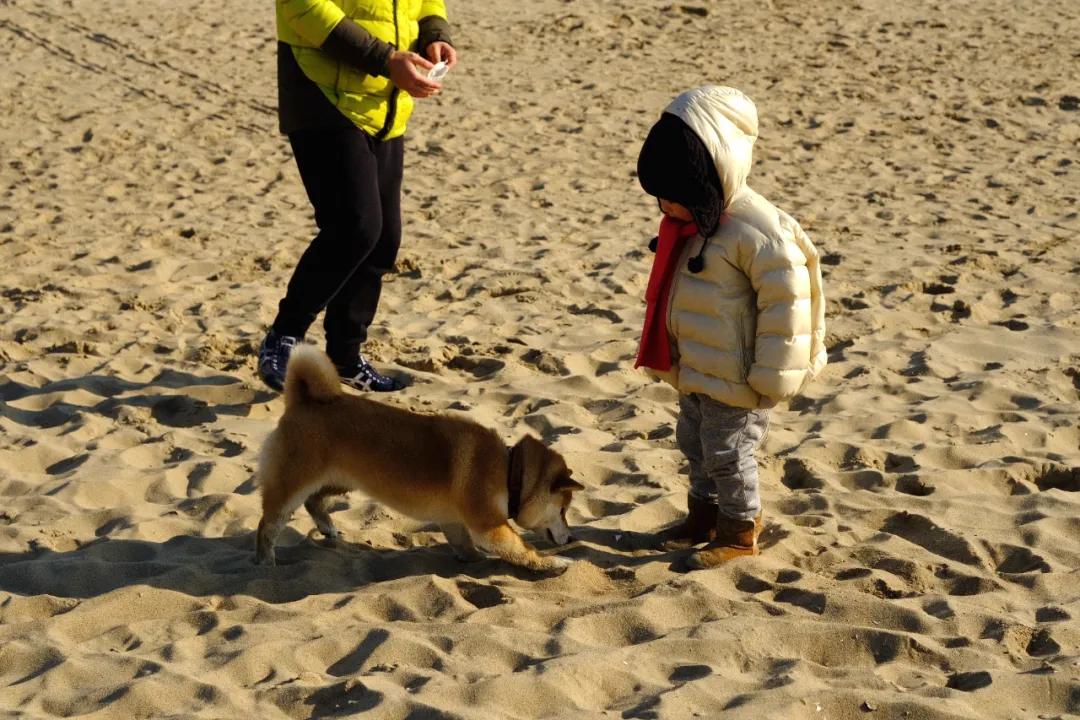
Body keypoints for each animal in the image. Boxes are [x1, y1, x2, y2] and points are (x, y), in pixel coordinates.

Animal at [253, 345, 587, 574]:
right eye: (563, 509)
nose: (571, 536)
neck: (509, 472)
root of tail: (303, 400)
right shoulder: (489, 525)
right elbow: (522, 548)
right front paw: (554, 562)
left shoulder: (453, 519)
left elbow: (463, 543)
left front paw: (472, 559)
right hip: (292, 487)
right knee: (267, 525)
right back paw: (266, 562)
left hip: (343, 481)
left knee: (314, 501)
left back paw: (328, 530)